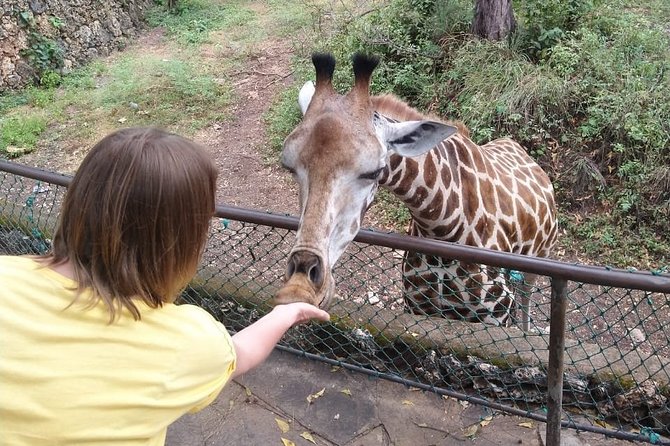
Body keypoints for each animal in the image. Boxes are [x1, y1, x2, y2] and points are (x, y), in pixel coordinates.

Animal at [274, 53, 558, 326]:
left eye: (373, 172)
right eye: (289, 167)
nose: (304, 287)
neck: (444, 229)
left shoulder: (497, 316)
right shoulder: (419, 308)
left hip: (539, 260)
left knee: (526, 302)